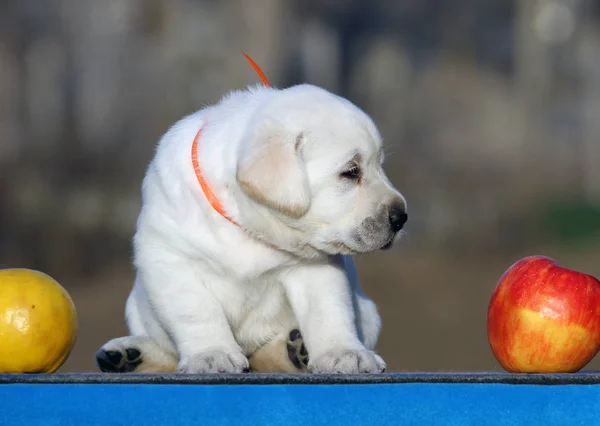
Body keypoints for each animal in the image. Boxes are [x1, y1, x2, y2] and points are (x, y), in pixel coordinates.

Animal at [96, 81, 408, 374]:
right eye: (351, 172)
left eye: (380, 165)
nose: (401, 217)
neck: (248, 227)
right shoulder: (170, 258)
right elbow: (196, 312)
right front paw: (211, 353)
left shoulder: (317, 267)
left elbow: (328, 311)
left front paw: (343, 352)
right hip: (136, 306)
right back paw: (129, 355)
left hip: (367, 313)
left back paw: (294, 353)